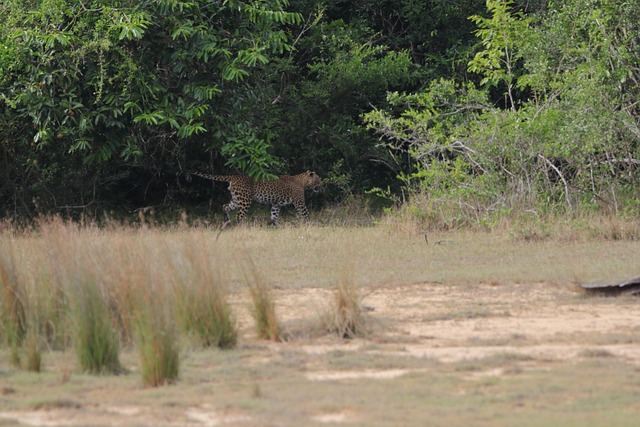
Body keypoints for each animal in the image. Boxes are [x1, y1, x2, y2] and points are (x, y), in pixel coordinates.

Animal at [188, 171, 322, 227]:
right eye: (319, 179)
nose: (323, 184)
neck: (303, 182)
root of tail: (234, 177)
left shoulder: (276, 204)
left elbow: (274, 215)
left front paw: (273, 225)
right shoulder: (299, 203)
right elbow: (306, 214)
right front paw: (312, 225)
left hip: (236, 199)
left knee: (225, 206)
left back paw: (227, 220)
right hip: (245, 200)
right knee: (239, 215)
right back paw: (242, 227)